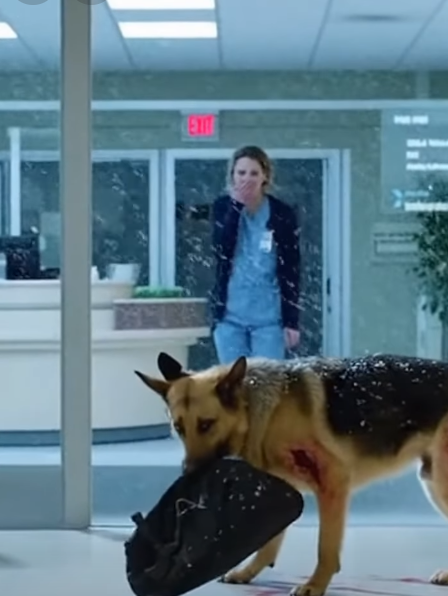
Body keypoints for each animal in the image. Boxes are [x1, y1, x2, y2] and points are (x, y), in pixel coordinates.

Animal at [135, 351, 448, 596]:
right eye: (178, 428)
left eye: (206, 425)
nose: (188, 476)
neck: (262, 412)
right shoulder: (285, 491)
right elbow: (269, 544)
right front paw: (247, 572)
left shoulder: (332, 481)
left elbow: (325, 548)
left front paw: (315, 585)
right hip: (433, 483)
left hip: (440, 485)